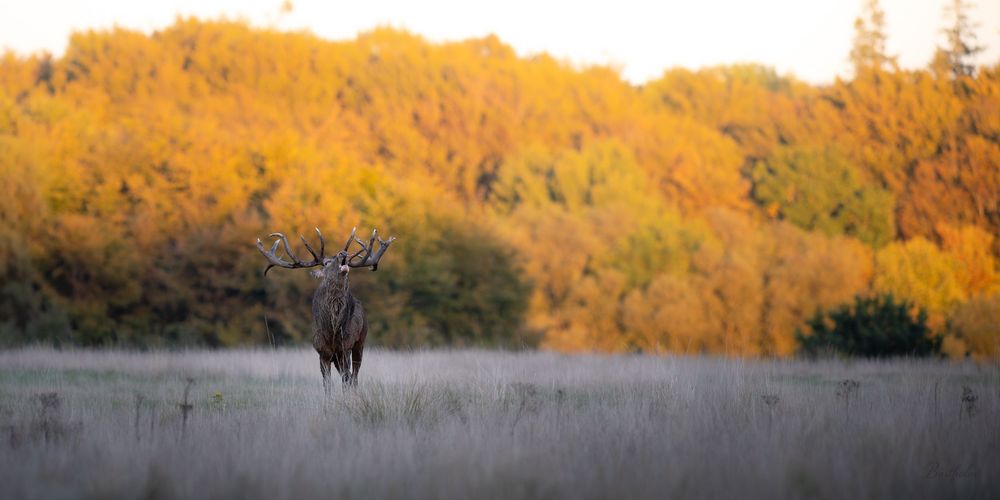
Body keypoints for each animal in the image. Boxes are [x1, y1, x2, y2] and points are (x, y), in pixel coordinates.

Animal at [256, 226, 396, 394]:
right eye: (327, 262)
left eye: (346, 259)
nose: (343, 253)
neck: (332, 330)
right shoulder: (321, 351)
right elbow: (327, 384)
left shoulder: (345, 347)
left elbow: (346, 379)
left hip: (360, 341)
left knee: (354, 375)